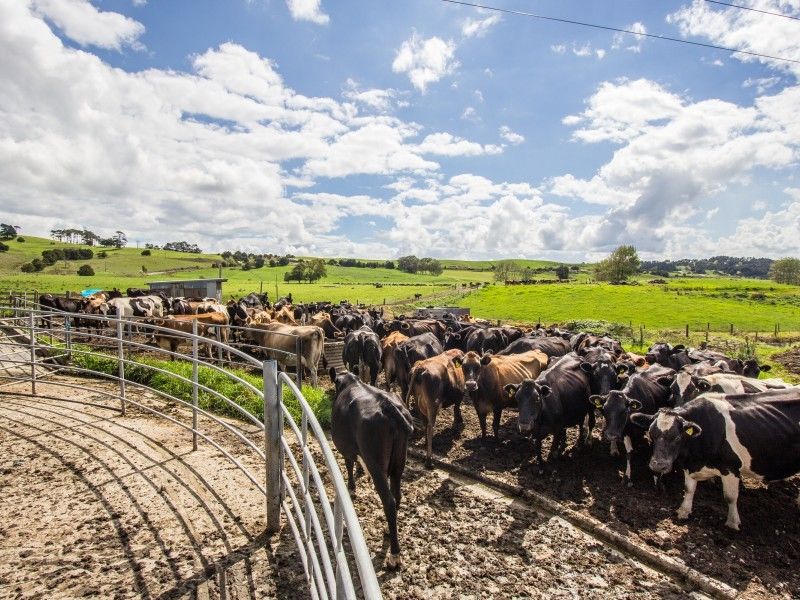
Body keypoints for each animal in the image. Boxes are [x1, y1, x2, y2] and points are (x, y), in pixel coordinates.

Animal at [328, 368, 412, 568]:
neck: (351, 382)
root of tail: (387, 406)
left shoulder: (346, 447)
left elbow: (349, 463)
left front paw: (351, 488)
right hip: (399, 462)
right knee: (397, 494)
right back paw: (389, 530)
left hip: (376, 465)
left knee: (389, 500)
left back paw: (394, 555)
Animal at [632, 392, 800, 532]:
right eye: (651, 433)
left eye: (677, 437)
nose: (657, 465)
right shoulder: (690, 465)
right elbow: (688, 489)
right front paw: (684, 511)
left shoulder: (730, 468)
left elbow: (730, 497)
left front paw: (732, 523)